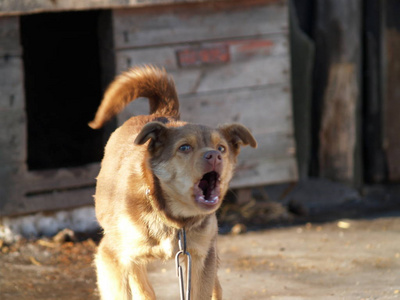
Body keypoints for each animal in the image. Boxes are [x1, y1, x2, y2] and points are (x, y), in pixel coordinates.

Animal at [88, 66, 256, 300]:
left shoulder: (200, 258)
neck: (173, 219)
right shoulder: (112, 256)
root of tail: (161, 114)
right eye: (184, 148)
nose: (215, 156)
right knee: (143, 288)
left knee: (216, 288)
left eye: (221, 148)